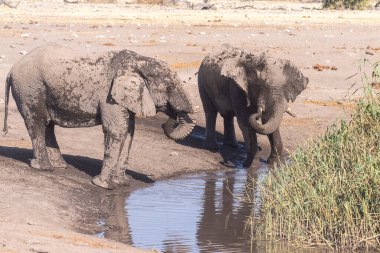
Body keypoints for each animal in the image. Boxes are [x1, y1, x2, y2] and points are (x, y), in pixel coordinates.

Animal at [2, 43, 197, 189]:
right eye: (169, 87)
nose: (168, 121)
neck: (139, 62)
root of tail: (11, 70)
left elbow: (129, 133)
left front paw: (121, 184)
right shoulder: (109, 96)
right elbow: (116, 130)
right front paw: (102, 185)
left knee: (47, 125)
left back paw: (59, 166)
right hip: (29, 87)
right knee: (37, 122)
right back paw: (44, 168)